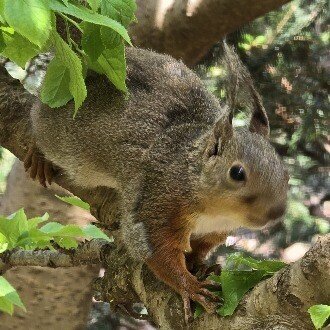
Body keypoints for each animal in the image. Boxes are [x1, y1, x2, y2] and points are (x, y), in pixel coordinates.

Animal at [24, 45, 288, 320]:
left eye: (285, 172)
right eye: (237, 173)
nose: (277, 212)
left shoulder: (213, 232)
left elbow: (200, 248)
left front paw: (200, 266)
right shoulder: (157, 202)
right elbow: (157, 250)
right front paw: (190, 286)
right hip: (60, 138)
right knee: (37, 123)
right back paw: (37, 154)